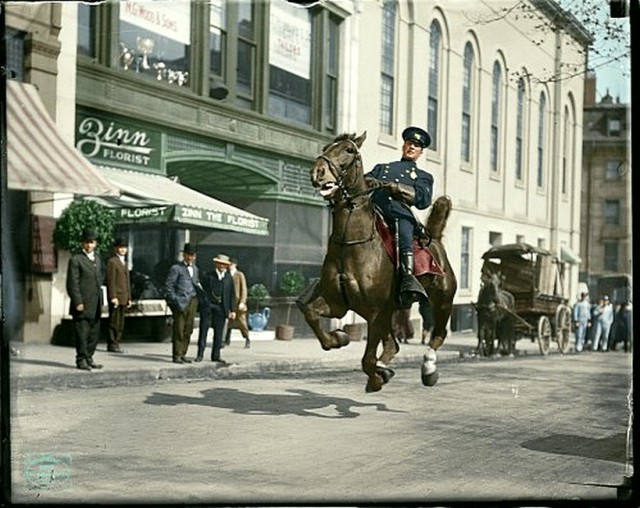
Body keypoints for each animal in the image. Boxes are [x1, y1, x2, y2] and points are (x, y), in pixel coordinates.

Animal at [298, 132, 458, 392]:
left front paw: (375, 379)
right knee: (393, 344)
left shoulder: (374, 312)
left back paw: (428, 369)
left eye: (349, 150)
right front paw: (339, 338)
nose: (318, 172)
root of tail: (434, 239)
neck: (351, 243)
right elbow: (312, 314)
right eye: (326, 148)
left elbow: (367, 359)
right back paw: (385, 368)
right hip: (389, 310)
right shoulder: (338, 303)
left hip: (441, 301)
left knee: (438, 335)